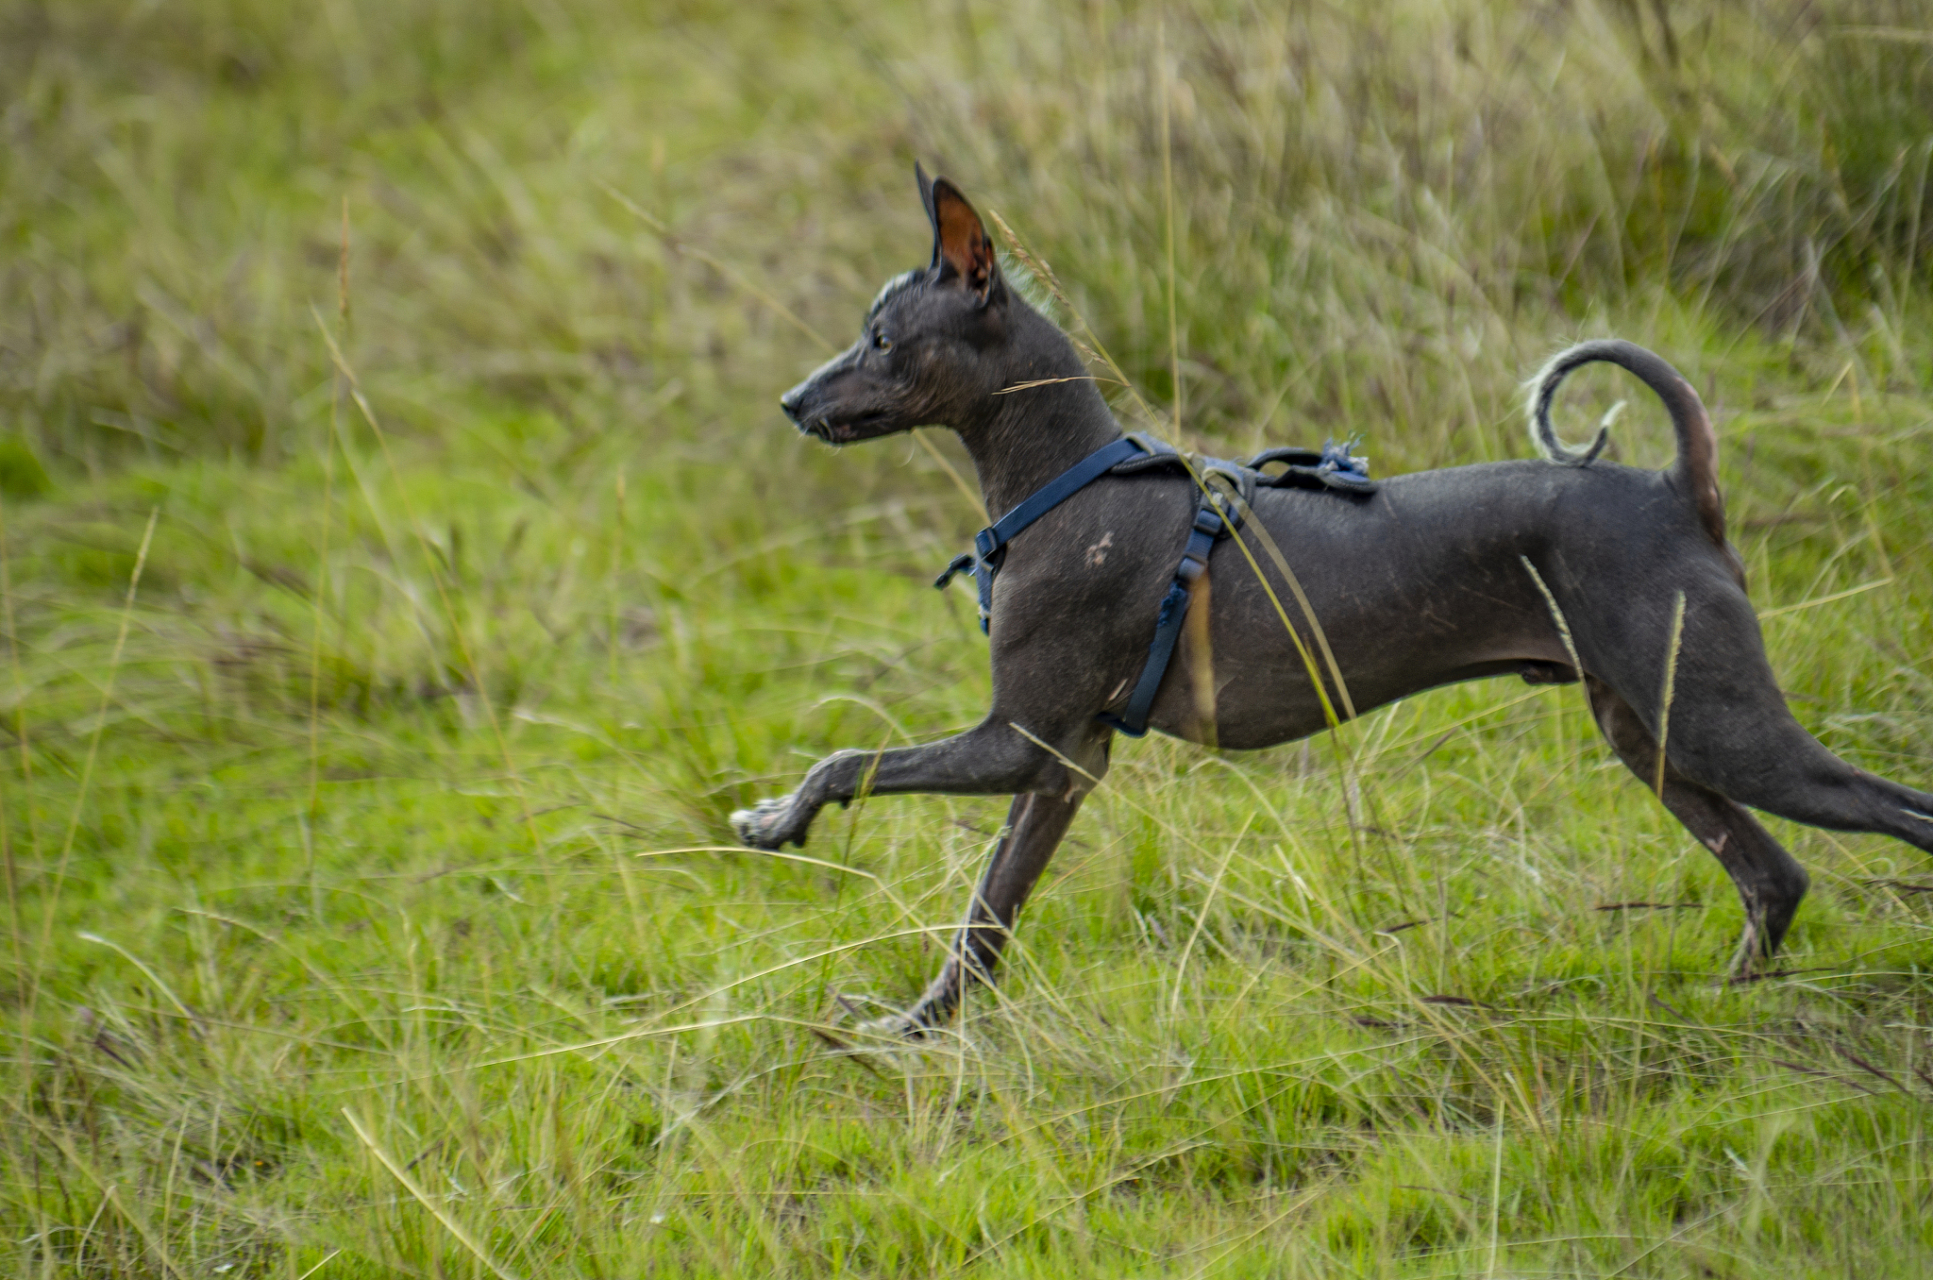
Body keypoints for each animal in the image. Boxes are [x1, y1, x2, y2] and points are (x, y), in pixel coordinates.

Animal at [730, 165, 1925, 1036]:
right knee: (1775, 875)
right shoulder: (1059, 770)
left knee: (1889, 815)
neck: (1070, 480)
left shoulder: (1010, 742)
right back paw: (1722, 1003)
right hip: (1653, 735)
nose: (788, 400)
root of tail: (1677, 487)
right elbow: (983, 920)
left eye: (883, 340)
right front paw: (914, 1031)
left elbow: (848, 762)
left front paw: (775, 818)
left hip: (1723, 728)